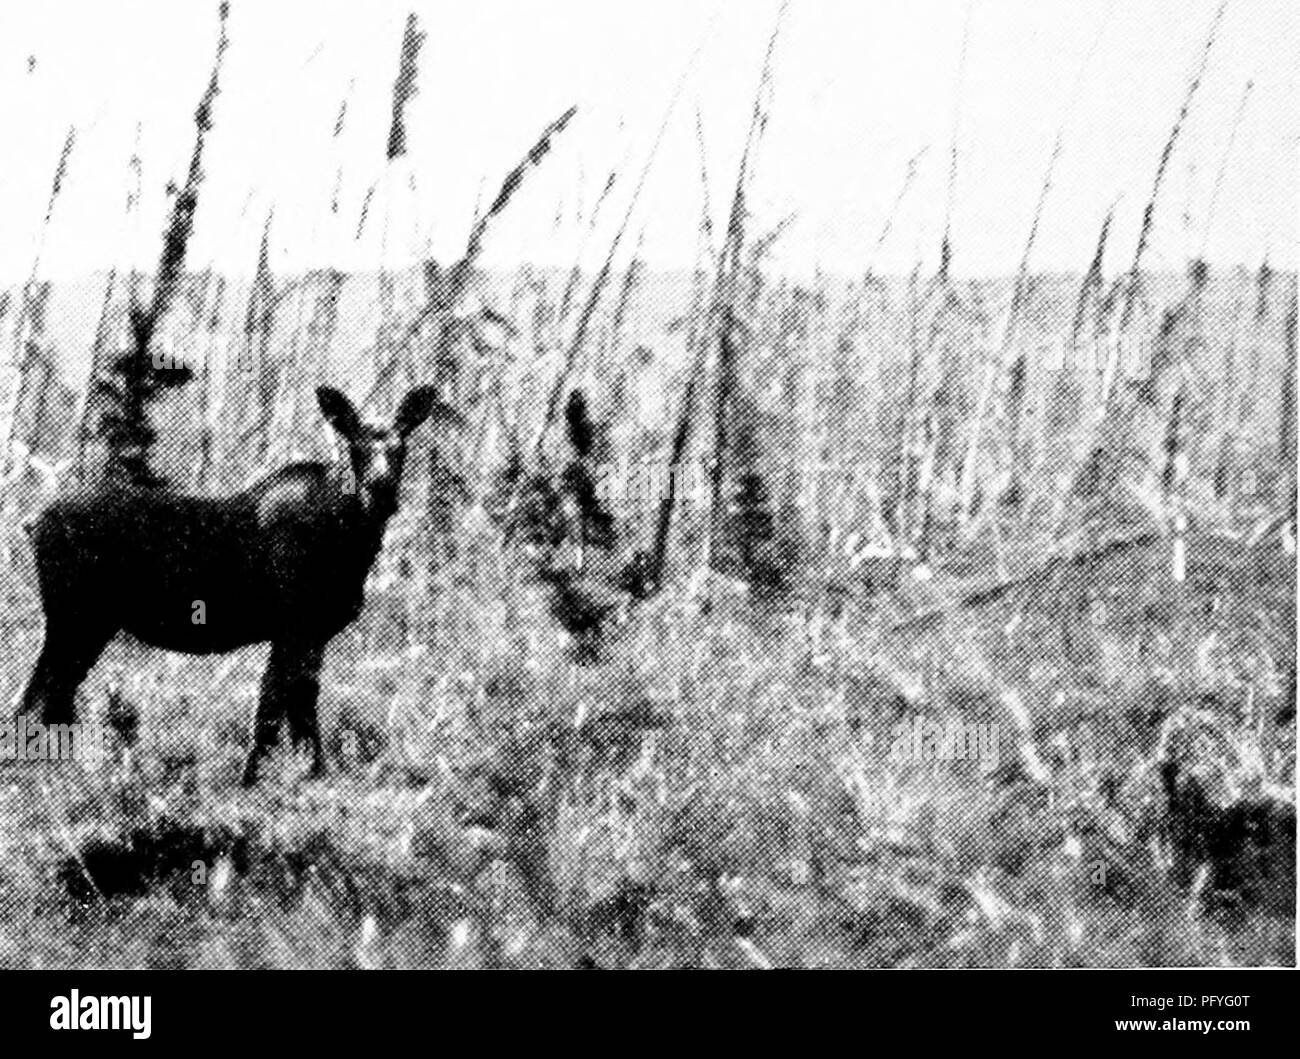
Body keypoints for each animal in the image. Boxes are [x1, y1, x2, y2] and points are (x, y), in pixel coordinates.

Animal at [16, 384, 457, 784]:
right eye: (356, 448)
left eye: (401, 447)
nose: (380, 490)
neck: (348, 541)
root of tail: (32, 522)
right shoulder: (295, 627)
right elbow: (278, 707)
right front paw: (263, 779)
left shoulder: (310, 633)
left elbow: (292, 708)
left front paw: (300, 775)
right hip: (76, 618)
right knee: (36, 697)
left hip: (88, 624)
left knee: (53, 698)